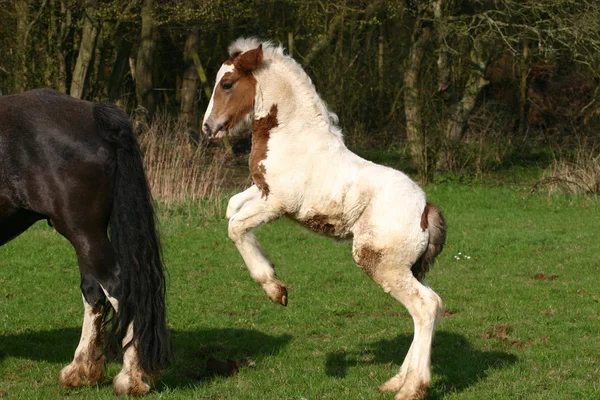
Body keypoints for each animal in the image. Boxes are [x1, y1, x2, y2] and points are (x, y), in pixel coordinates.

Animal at [0, 89, 173, 396]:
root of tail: (93, 114)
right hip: (88, 236)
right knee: (94, 292)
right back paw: (81, 370)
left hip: (82, 232)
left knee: (118, 289)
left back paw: (130, 378)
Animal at [202, 38, 446, 400]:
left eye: (228, 84)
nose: (208, 127)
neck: (292, 135)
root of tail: (425, 210)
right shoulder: (261, 191)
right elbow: (233, 209)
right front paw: (274, 275)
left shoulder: (278, 203)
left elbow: (236, 226)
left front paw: (275, 289)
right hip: (409, 267)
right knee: (432, 304)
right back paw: (397, 380)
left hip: (381, 263)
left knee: (425, 307)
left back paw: (411, 388)